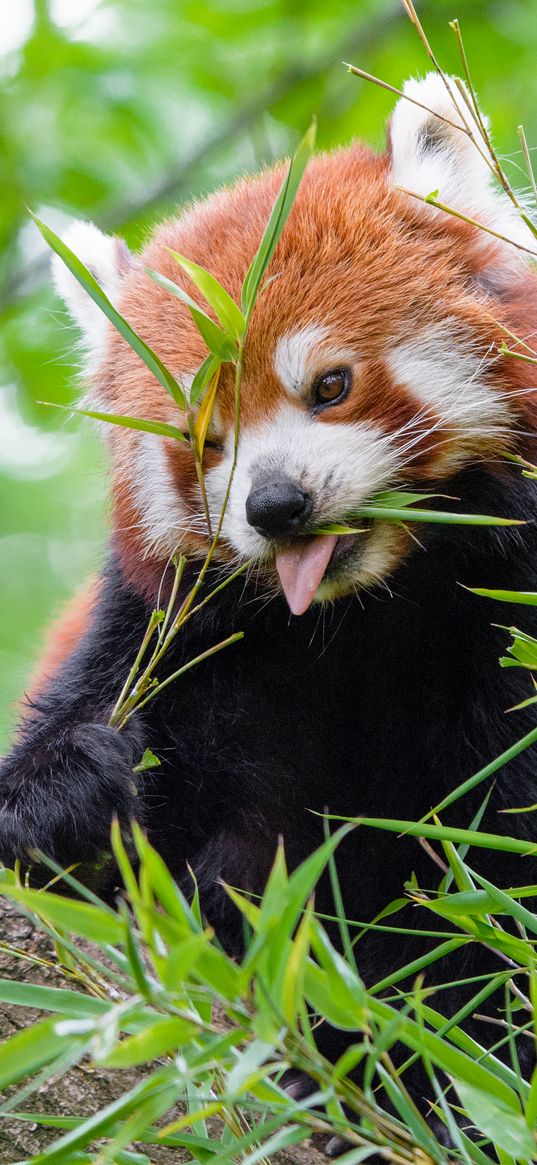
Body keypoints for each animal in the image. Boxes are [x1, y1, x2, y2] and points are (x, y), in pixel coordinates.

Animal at [1, 75, 535, 1146]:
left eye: (329, 384)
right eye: (204, 438)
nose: (276, 504)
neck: (364, 609)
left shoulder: (508, 617)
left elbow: (494, 881)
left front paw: (454, 1074)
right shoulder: (184, 642)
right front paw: (64, 799)